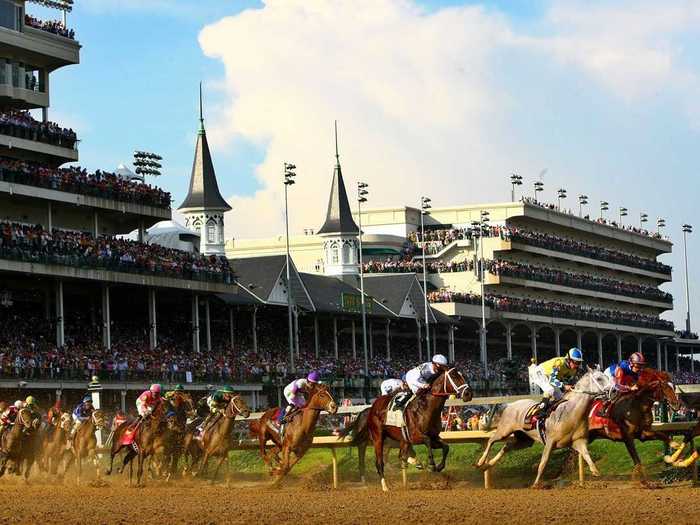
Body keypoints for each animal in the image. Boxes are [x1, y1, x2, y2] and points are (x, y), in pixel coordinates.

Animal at [474, 368, 608, 484]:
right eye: (599, 378)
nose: (612, 390)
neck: (571, 412)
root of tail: (509, 405)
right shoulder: (550, 441)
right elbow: (543, 463)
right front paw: (535, 484)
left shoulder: (578, 441)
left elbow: (587, 455)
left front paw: (595, 472)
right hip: (504, 430)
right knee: (491, 440)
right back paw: (480, 462)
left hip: (524, 440)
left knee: (506, 447)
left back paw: (487, 465)